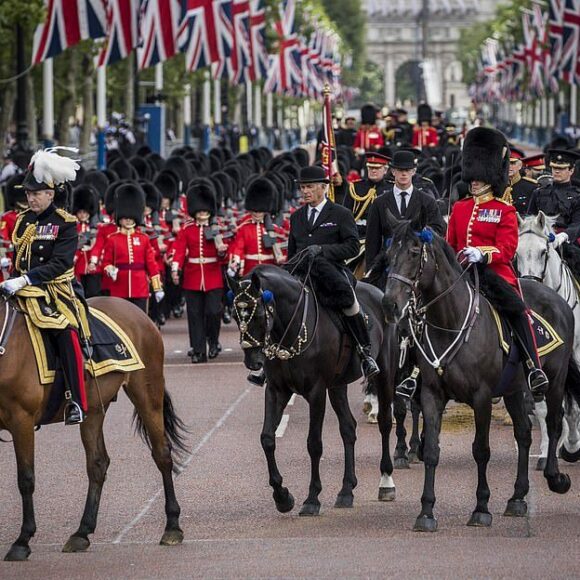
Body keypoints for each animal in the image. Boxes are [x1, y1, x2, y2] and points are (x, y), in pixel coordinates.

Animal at [0, 296, 187, 560]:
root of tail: (134, 310)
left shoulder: (21, 419)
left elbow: (26, 479)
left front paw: (22, 540)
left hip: (146, 391)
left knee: (162, 455)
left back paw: (172, 527)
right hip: (94, 409)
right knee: (97, 463)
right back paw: (82, 532)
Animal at [229, 266, 396, 516]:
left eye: (257, 314)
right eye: (235, 315)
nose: (252, 361)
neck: (291, 327)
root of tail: (378, 292)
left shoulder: (316, 393)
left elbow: (314, 444)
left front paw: (312, 498)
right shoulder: (276, 391)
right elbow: (267, 438)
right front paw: (282, 496)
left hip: (384, 373)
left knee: (385, 423)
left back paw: (386, 481)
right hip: (337, 386)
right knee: (348, 428)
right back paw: (346, 490)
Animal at [382, 220, 576, 532]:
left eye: (413, 252)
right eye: (388, 255)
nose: (390, 306)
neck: (448, 320)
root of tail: (557, 300)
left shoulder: (482, 397)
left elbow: (481, 450)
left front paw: (481, 507)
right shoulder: (432, 394)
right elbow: (432, 450)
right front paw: (426, 511)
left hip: (555, 381)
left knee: (554, 421)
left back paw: (555, 478)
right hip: (513, 389)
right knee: (523, 433)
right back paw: (517, 498)